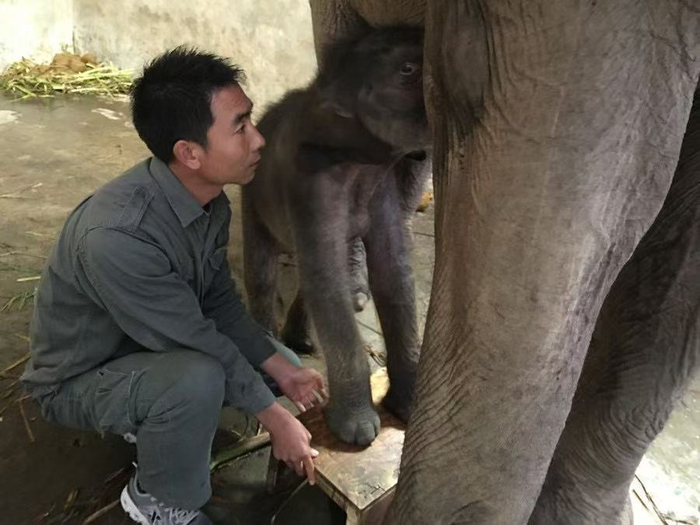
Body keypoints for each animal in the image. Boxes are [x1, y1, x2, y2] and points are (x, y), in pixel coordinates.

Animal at [242, 26, 431, 445]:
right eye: (408, 70)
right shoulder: (309, 182)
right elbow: (327, 280)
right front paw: (358, 434)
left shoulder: (382, 187)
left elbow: (394, 271)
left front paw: (407, 407)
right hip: (251, 196)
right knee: (262, 273)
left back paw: (301, 340)